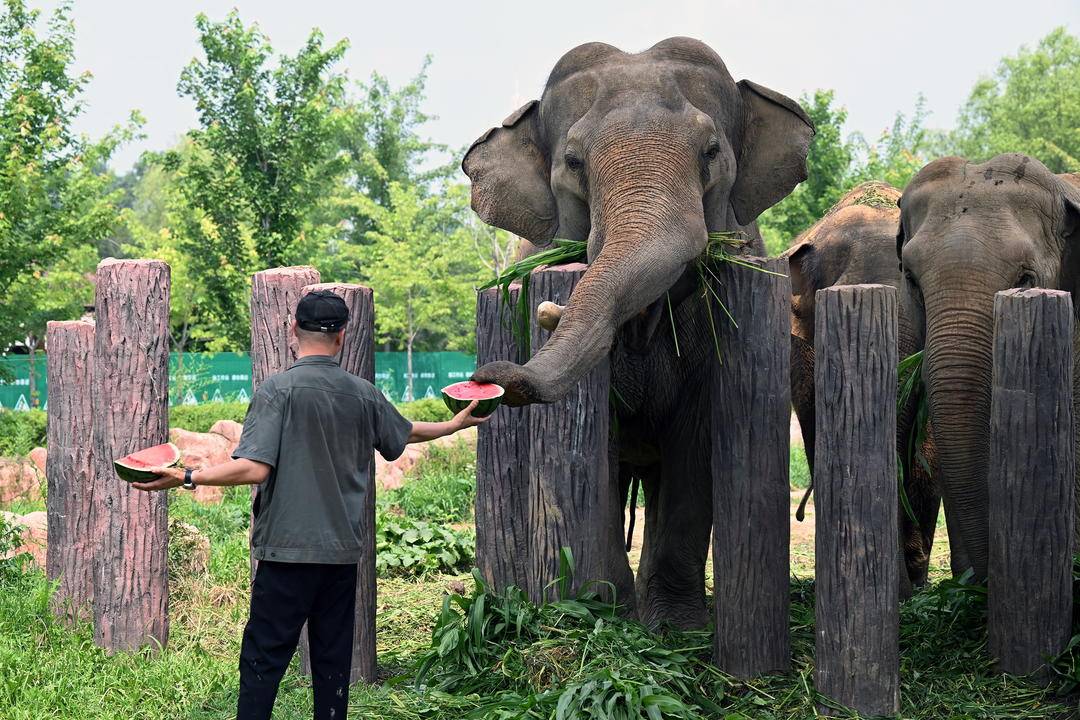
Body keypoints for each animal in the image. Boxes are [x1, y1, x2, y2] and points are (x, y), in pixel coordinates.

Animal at [464, 36, 812, 626]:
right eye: (574, 163)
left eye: (711, 151)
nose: (490, 374)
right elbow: (596, 447)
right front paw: (605, 610)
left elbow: (696, 448)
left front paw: (673, 625)